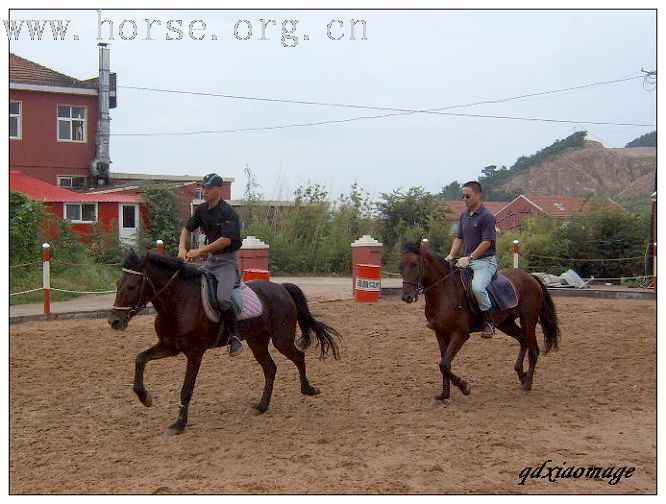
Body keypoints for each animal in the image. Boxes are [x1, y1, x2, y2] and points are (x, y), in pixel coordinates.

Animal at [108, 250, 340, 436]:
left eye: (131, 287)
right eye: (118, 284)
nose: (114, 321)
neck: (178, 303)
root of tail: (281, 288)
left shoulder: (194, 353)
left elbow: (186, 389)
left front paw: (178, 425)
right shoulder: (169, 347)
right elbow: (140, 359)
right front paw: (144, 397)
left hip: (282, 339)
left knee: (298, 356)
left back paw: (308, 389)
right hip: (257, 341)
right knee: (270, 368)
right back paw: (261, 406)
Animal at [396, 240, 556, 402]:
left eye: (414, 264)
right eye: (400, 266)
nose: (407, 297)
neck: (445, 291)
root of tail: (530, 277)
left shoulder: (460, 334)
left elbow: (445, 364)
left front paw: (464, 386)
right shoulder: (440, 334)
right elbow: (444, 364)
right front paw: (444, 394)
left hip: (528, 320)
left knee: (533, 349)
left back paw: (527, 383)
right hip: (506, 323)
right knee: (523, 340)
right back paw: (521, 375)